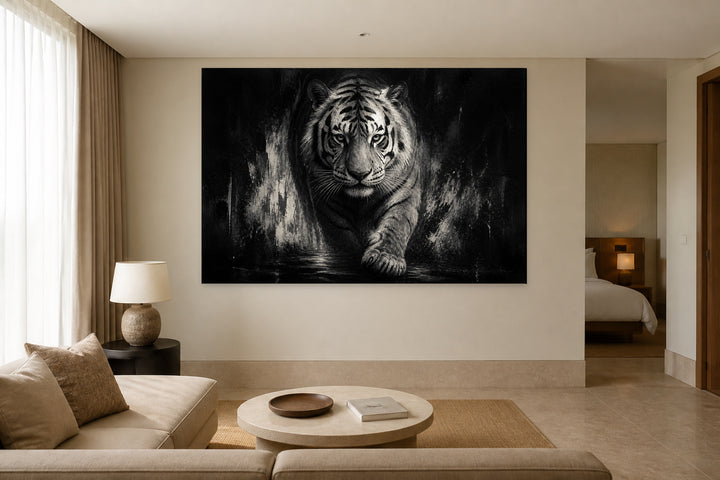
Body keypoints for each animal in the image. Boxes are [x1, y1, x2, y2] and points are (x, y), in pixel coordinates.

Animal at [298, 74, 423, 277]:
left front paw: (385, 259)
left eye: (376, 138)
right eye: (340, 138)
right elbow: (342, 236)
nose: (359, 174)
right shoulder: (327, 202)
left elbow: (397, 224)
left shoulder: (404, 192)